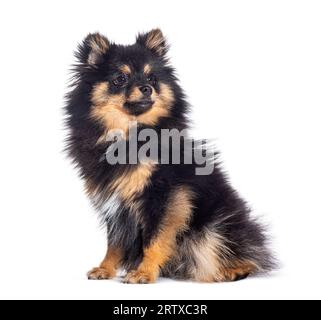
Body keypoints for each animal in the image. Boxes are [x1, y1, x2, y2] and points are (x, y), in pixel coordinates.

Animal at [64, 28, 272, 282]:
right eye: (120, 79)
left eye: (152, 78)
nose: (146, 88)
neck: (129, 135)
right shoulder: (115, 204)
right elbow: (114, 243)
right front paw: (105, 269)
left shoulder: (166, 197)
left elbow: (155, 240)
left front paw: (143, 272)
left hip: (213, 226)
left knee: (240, 252)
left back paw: (232, 271)